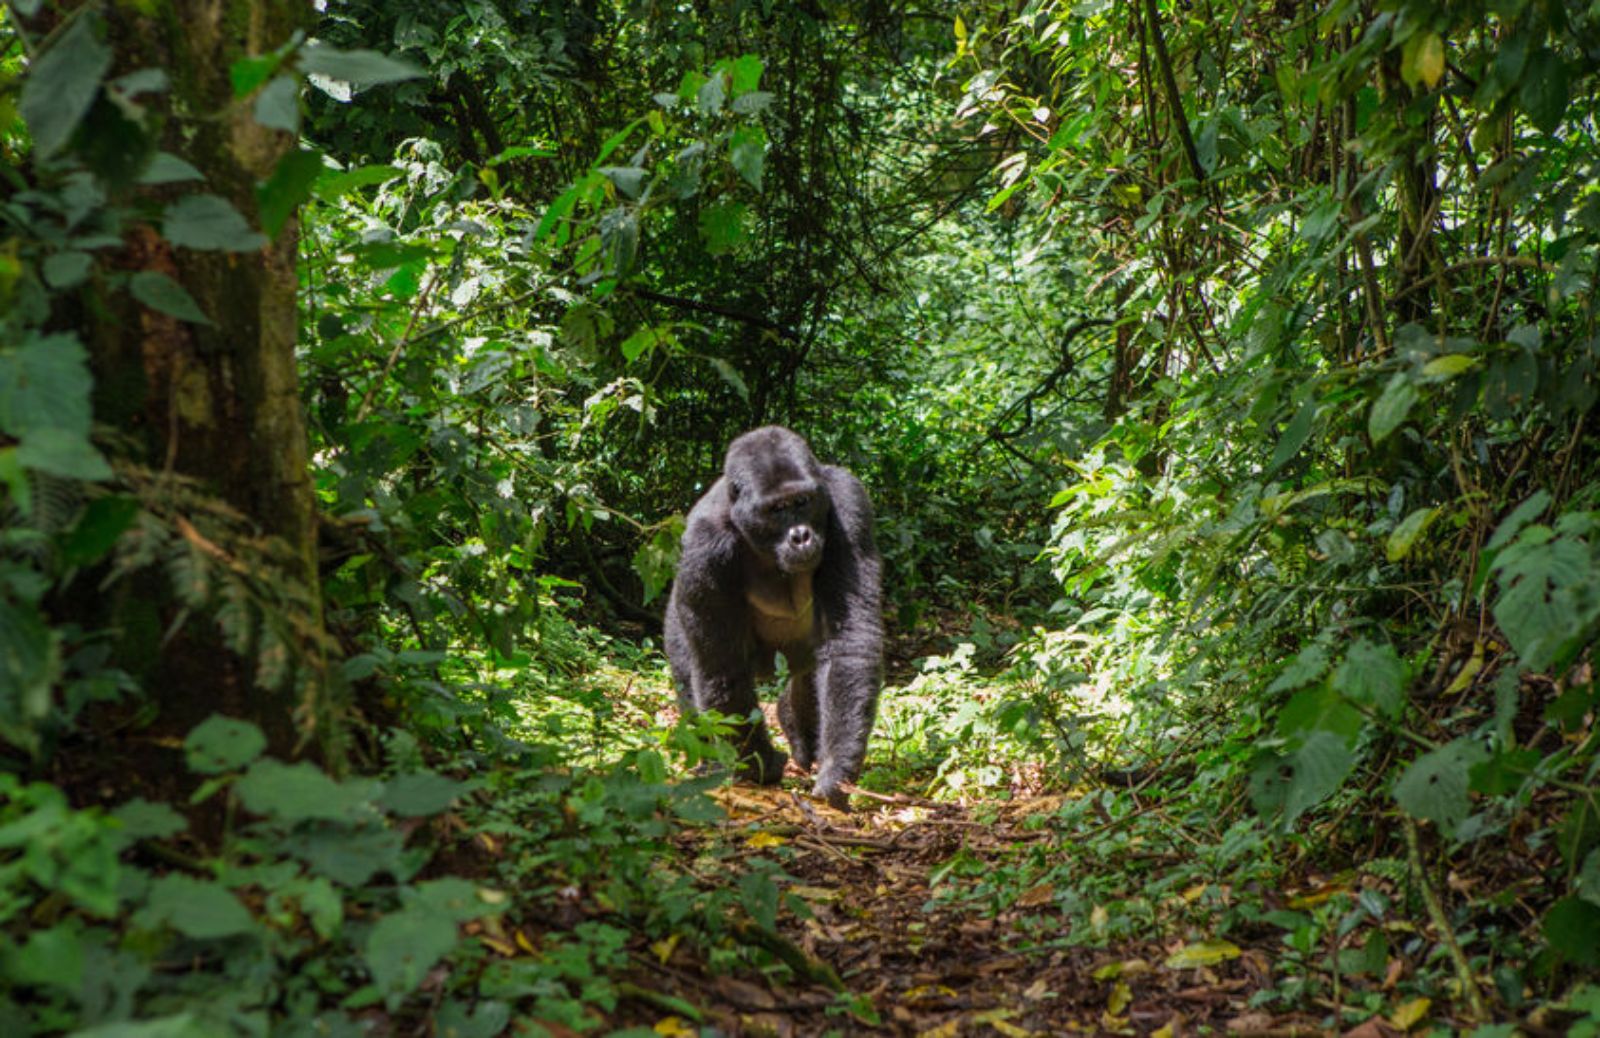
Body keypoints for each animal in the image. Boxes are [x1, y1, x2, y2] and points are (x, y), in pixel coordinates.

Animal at [665, 425, 889, 806]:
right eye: (776, 510)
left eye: (802, 502)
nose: (801, 537)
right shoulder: (704, 545)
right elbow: (723, 667)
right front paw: (760, 765)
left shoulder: (849, 502)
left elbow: (847, 642)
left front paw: (837, 768)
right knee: (690, 670)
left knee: (810, 674)